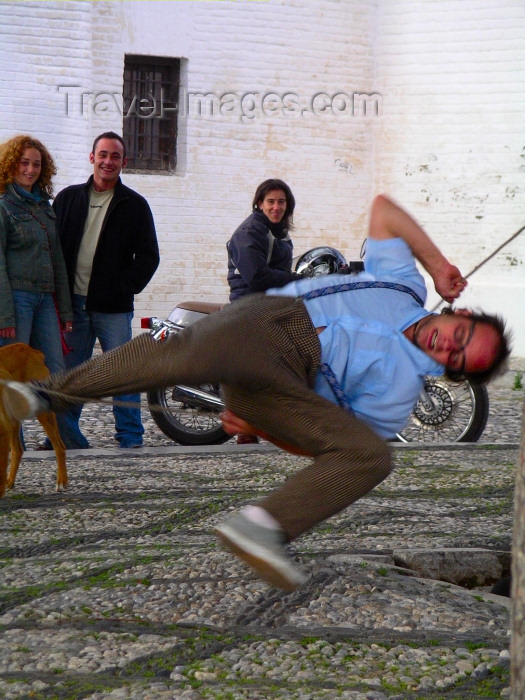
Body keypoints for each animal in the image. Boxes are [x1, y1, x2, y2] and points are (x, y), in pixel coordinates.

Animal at [0, 344, 67, 498]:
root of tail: (31, 350)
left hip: (42, 412)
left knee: (60, 447)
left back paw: (61, 483)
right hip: (14, 419)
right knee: (18, 450)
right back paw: (10, 482)